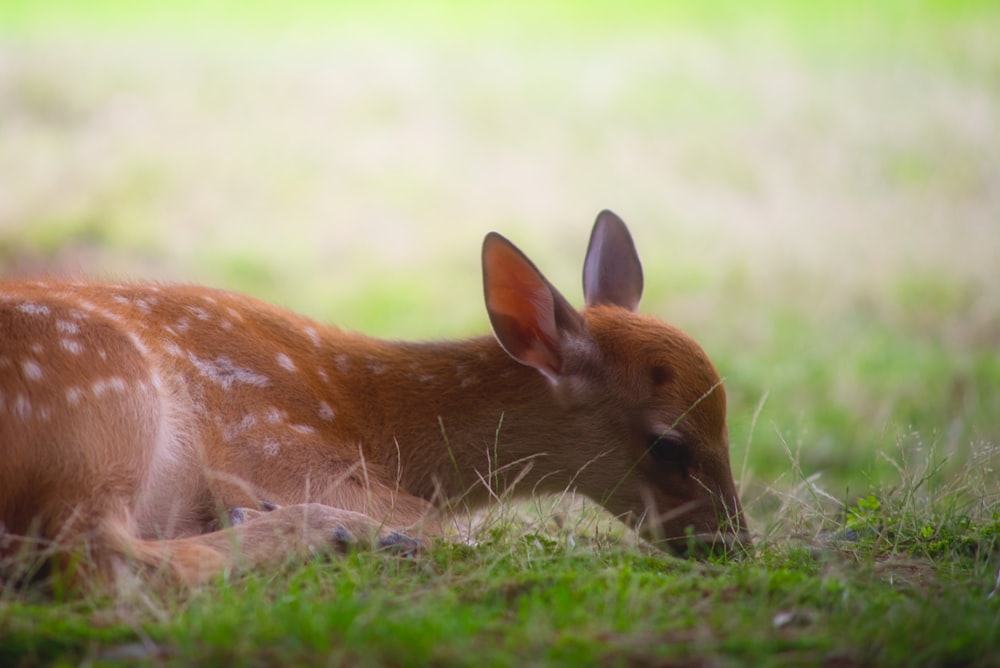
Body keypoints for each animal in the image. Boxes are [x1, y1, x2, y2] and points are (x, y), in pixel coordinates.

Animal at [0, 210, 748, 588]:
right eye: (669, 443)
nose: (734, 544)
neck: (380, 423)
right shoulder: (270, 443)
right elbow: (443, 527)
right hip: (105, 394)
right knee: (99, 559)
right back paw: (334, 533)